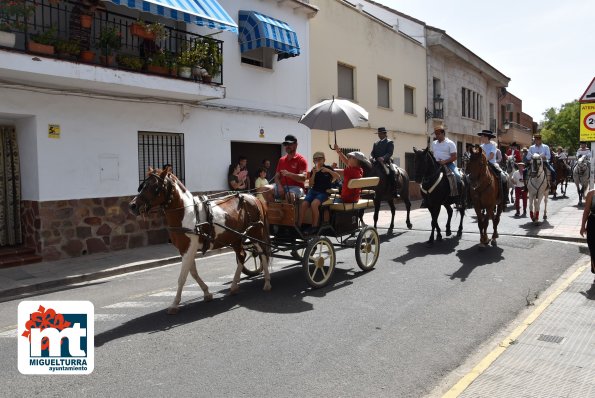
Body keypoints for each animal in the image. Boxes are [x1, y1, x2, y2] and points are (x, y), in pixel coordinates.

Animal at [130, 168, 272, 314]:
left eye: (154, 186)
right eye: (143, 185)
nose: (133, 205)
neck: (186, 212)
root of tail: (254, 198)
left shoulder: (188, 249)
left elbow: (182, 277)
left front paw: (175, 304)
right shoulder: (186, 250)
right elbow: (192, 273)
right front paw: (207, 293)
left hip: (256, 234)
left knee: (263, 254)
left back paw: (267, 282)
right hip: (236, 238)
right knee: (242, 256)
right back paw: (234, 286)